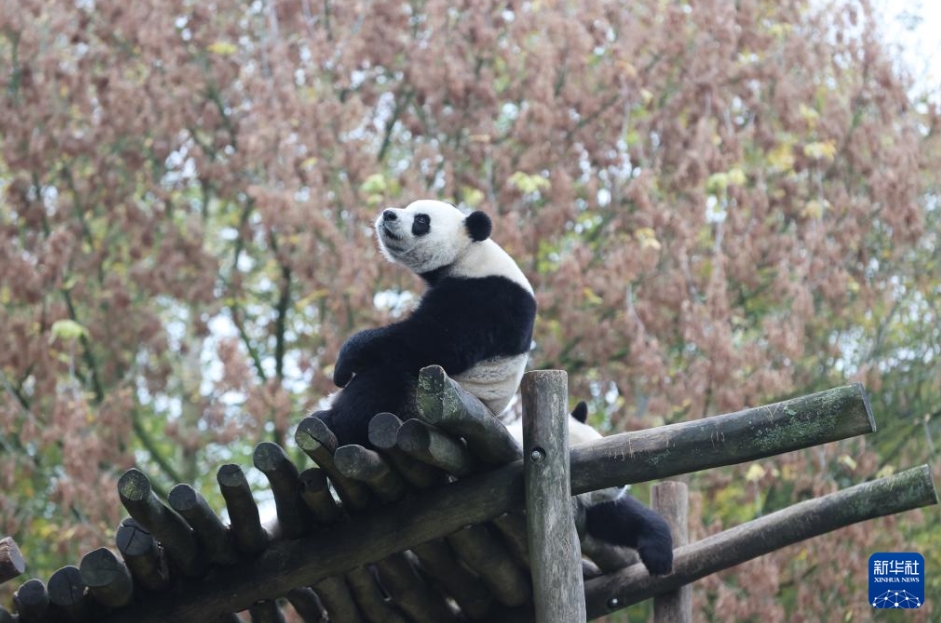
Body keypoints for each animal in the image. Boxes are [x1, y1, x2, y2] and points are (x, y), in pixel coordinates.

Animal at [320, 199, 672, 576]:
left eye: (421, 220)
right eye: (410, 209)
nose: (388, 214)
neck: (471, 252)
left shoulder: (487, 296)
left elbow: (435, 340)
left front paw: (348, 357)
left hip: (416, 402)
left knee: (383, 381)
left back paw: (334, 420)